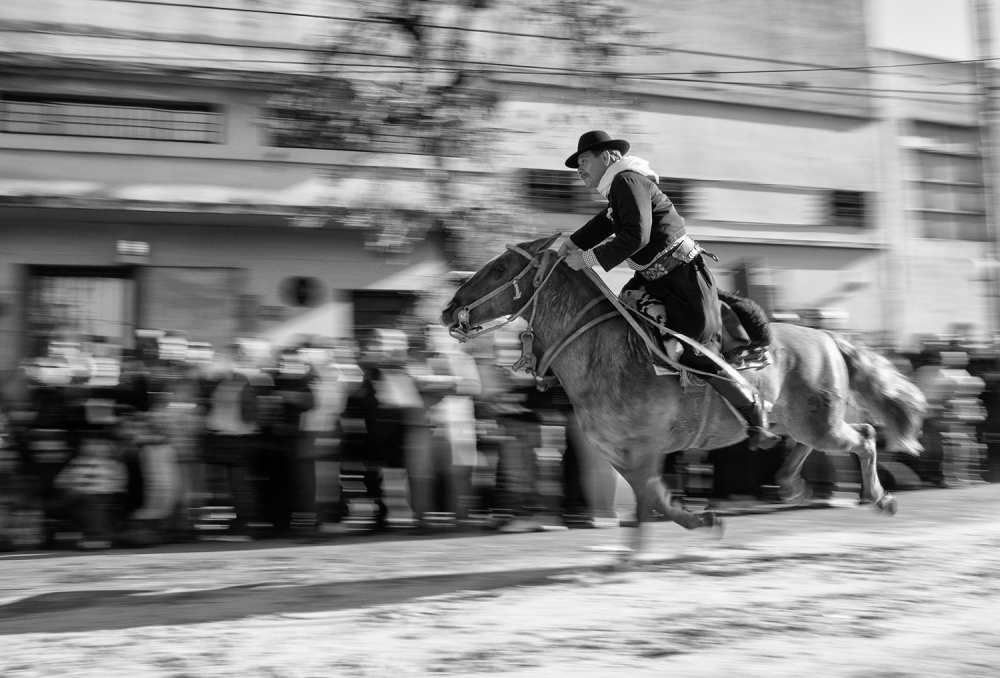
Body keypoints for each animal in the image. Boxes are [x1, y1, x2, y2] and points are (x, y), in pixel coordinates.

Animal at [442, 235, 924, 556]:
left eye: (501, 268)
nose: (449, 308)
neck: (603, 355)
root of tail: (827, 336)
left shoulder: (645, 446)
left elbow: (651, 498)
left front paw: (657, 542)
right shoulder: (620, 453)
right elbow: (652, 497)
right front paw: (690, 523)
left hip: (819, 422)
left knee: (865, 437)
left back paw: (880, 498)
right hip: (803, 421)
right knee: (820, 442)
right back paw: (790, 484)